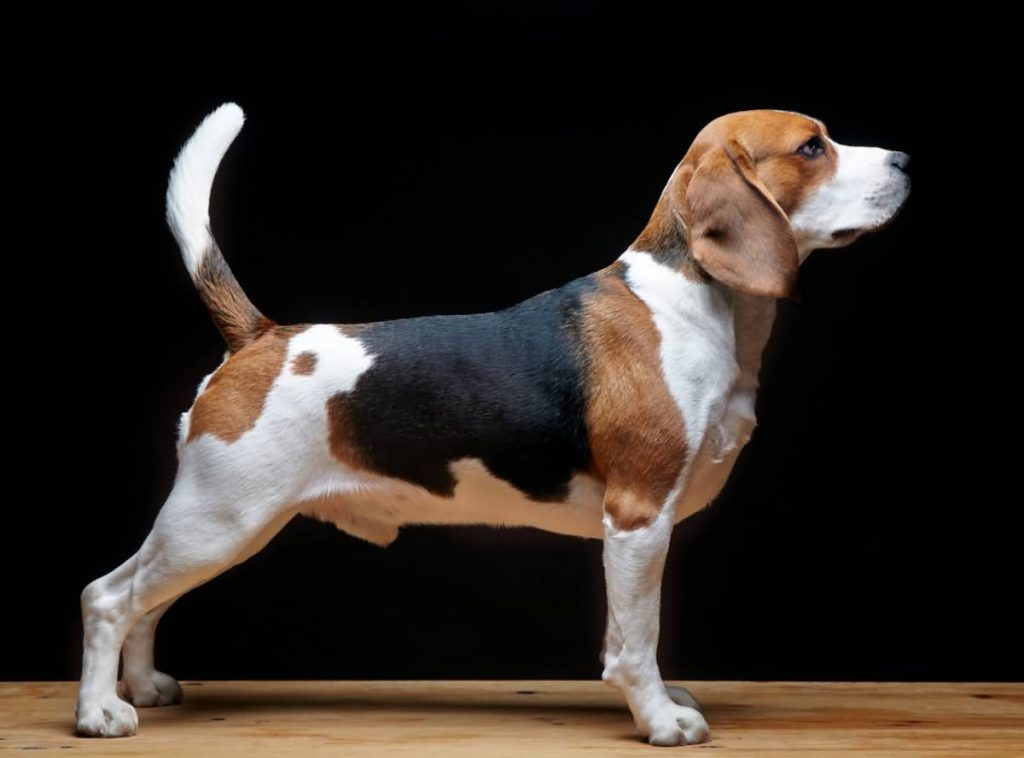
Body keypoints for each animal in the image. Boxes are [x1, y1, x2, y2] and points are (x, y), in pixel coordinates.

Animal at [75, 103, 909, 741]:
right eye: (812, 147)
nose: (904, 157)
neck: (696, 295)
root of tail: (261, 338)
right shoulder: (638, 520)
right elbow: (635, 638)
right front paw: (660, 719)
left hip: (211, 528)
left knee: (147, 601)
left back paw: (140, 688)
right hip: (220, 520)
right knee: (108, 598)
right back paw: (99, 714)